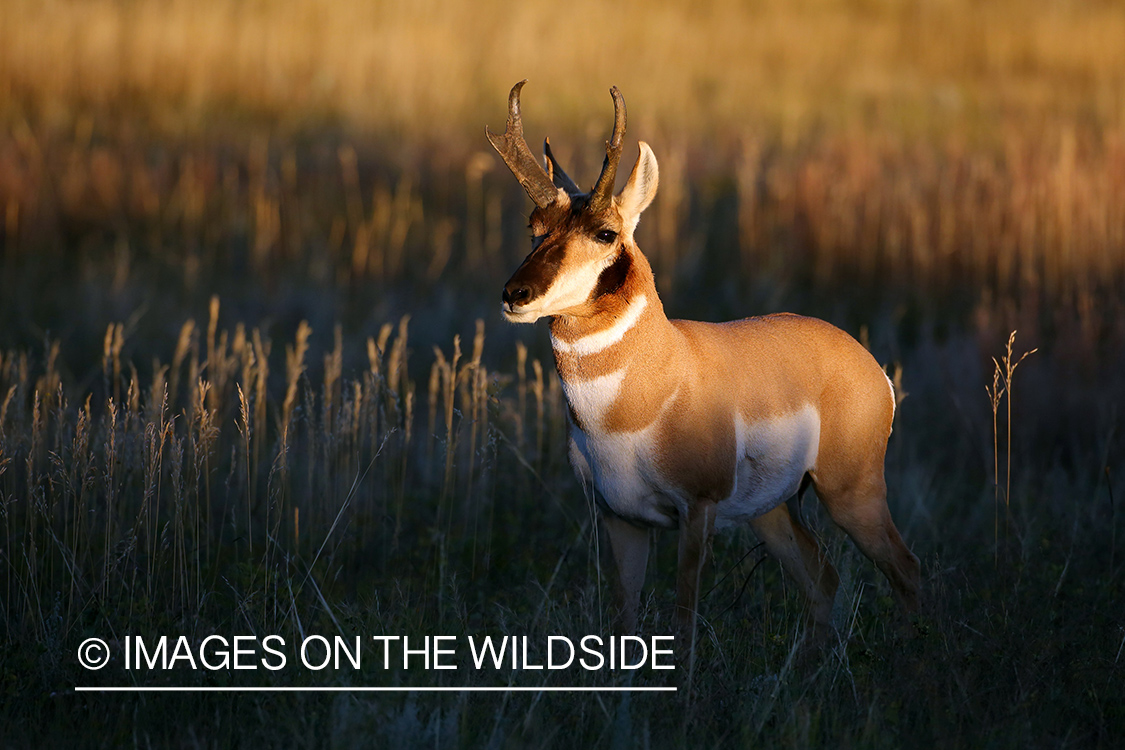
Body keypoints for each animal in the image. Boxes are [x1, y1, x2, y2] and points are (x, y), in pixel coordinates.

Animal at [488, 80, 918, 647]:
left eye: (605, 232)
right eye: (534, 226)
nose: (516, 294)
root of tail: (865, 362)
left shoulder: (697, 511)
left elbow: (684, 618)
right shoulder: (622, 519)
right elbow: (624, 616)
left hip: (851, 493)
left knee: (906, 570)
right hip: (773, 511)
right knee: (823, 576)